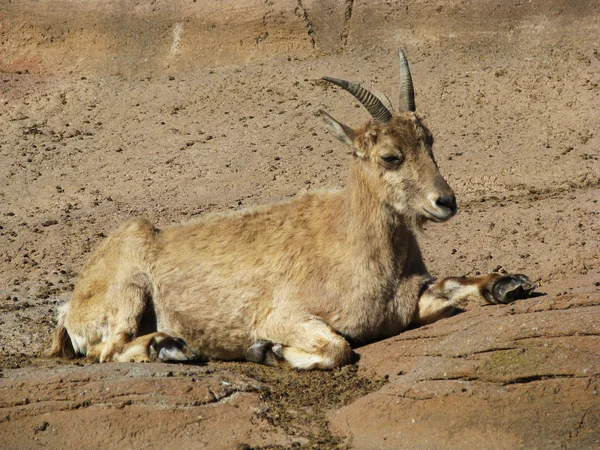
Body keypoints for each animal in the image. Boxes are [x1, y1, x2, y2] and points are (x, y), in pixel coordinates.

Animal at [48, 52, 536, 370]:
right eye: (390, 156)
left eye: (429, 140)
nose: (445, 202)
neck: (354, 243)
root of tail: (70, 310)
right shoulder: (285, 315)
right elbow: (337, 349)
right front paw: (267, 351)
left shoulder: (412, 298)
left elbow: (453, 287)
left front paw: (509, 282)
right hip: (128, 287)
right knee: (109, 350)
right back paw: (170, 346)